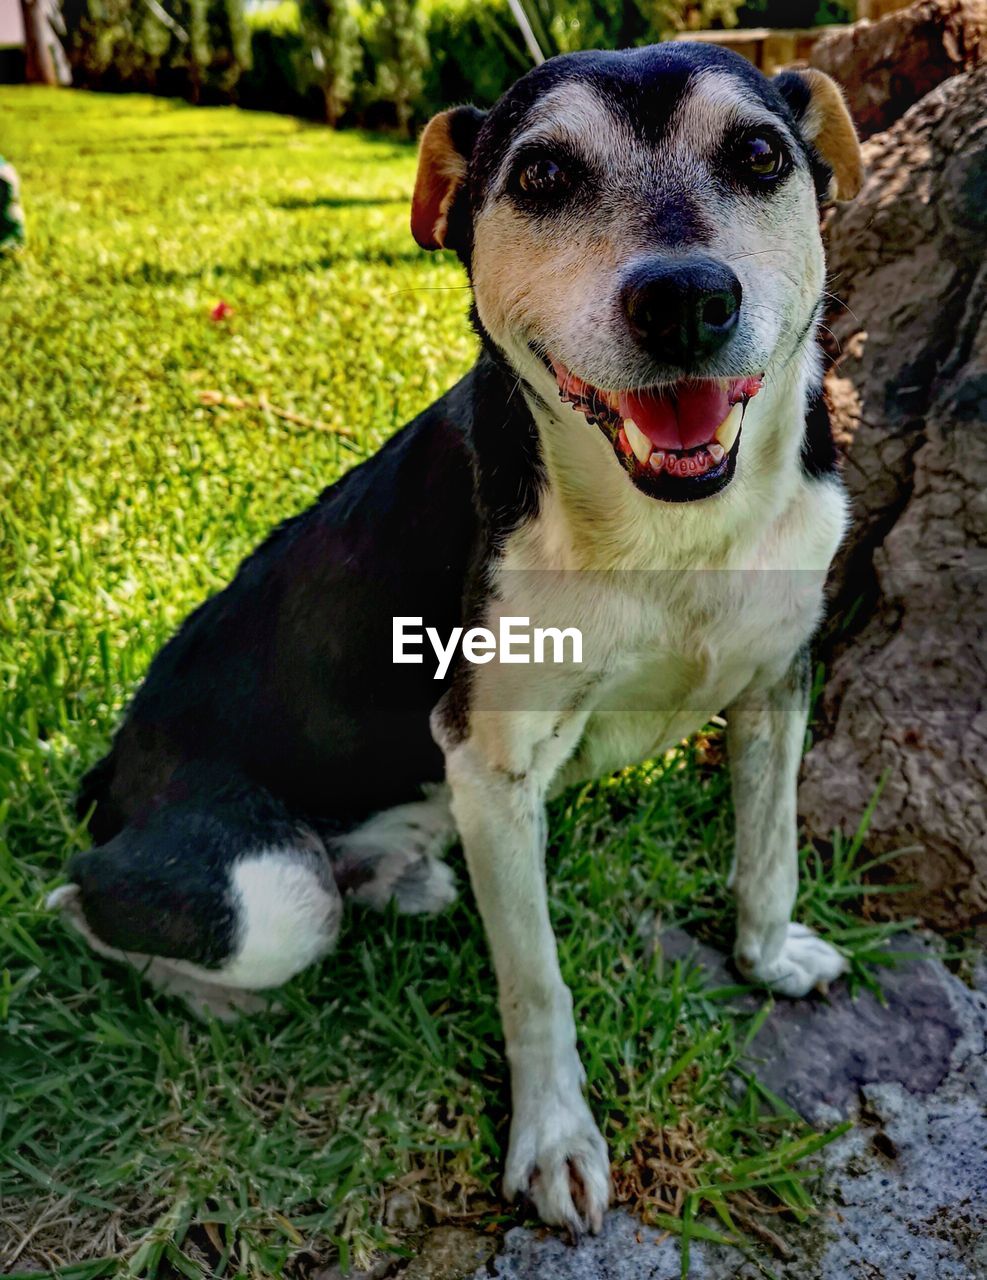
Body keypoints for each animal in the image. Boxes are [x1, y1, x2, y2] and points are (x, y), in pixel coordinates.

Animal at [50, 45, 860, 1233]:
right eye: (543, 176)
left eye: (759, 155)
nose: (685, 299)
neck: (672, 529)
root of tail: (114, 773)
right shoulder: (492, 761)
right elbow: (536, 981)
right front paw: (554, 1139)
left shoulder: (774, 689)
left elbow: (770, 856)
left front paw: (766, 962)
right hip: (266, 894)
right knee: (89, 899)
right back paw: (217, 991)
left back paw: (408, 879)